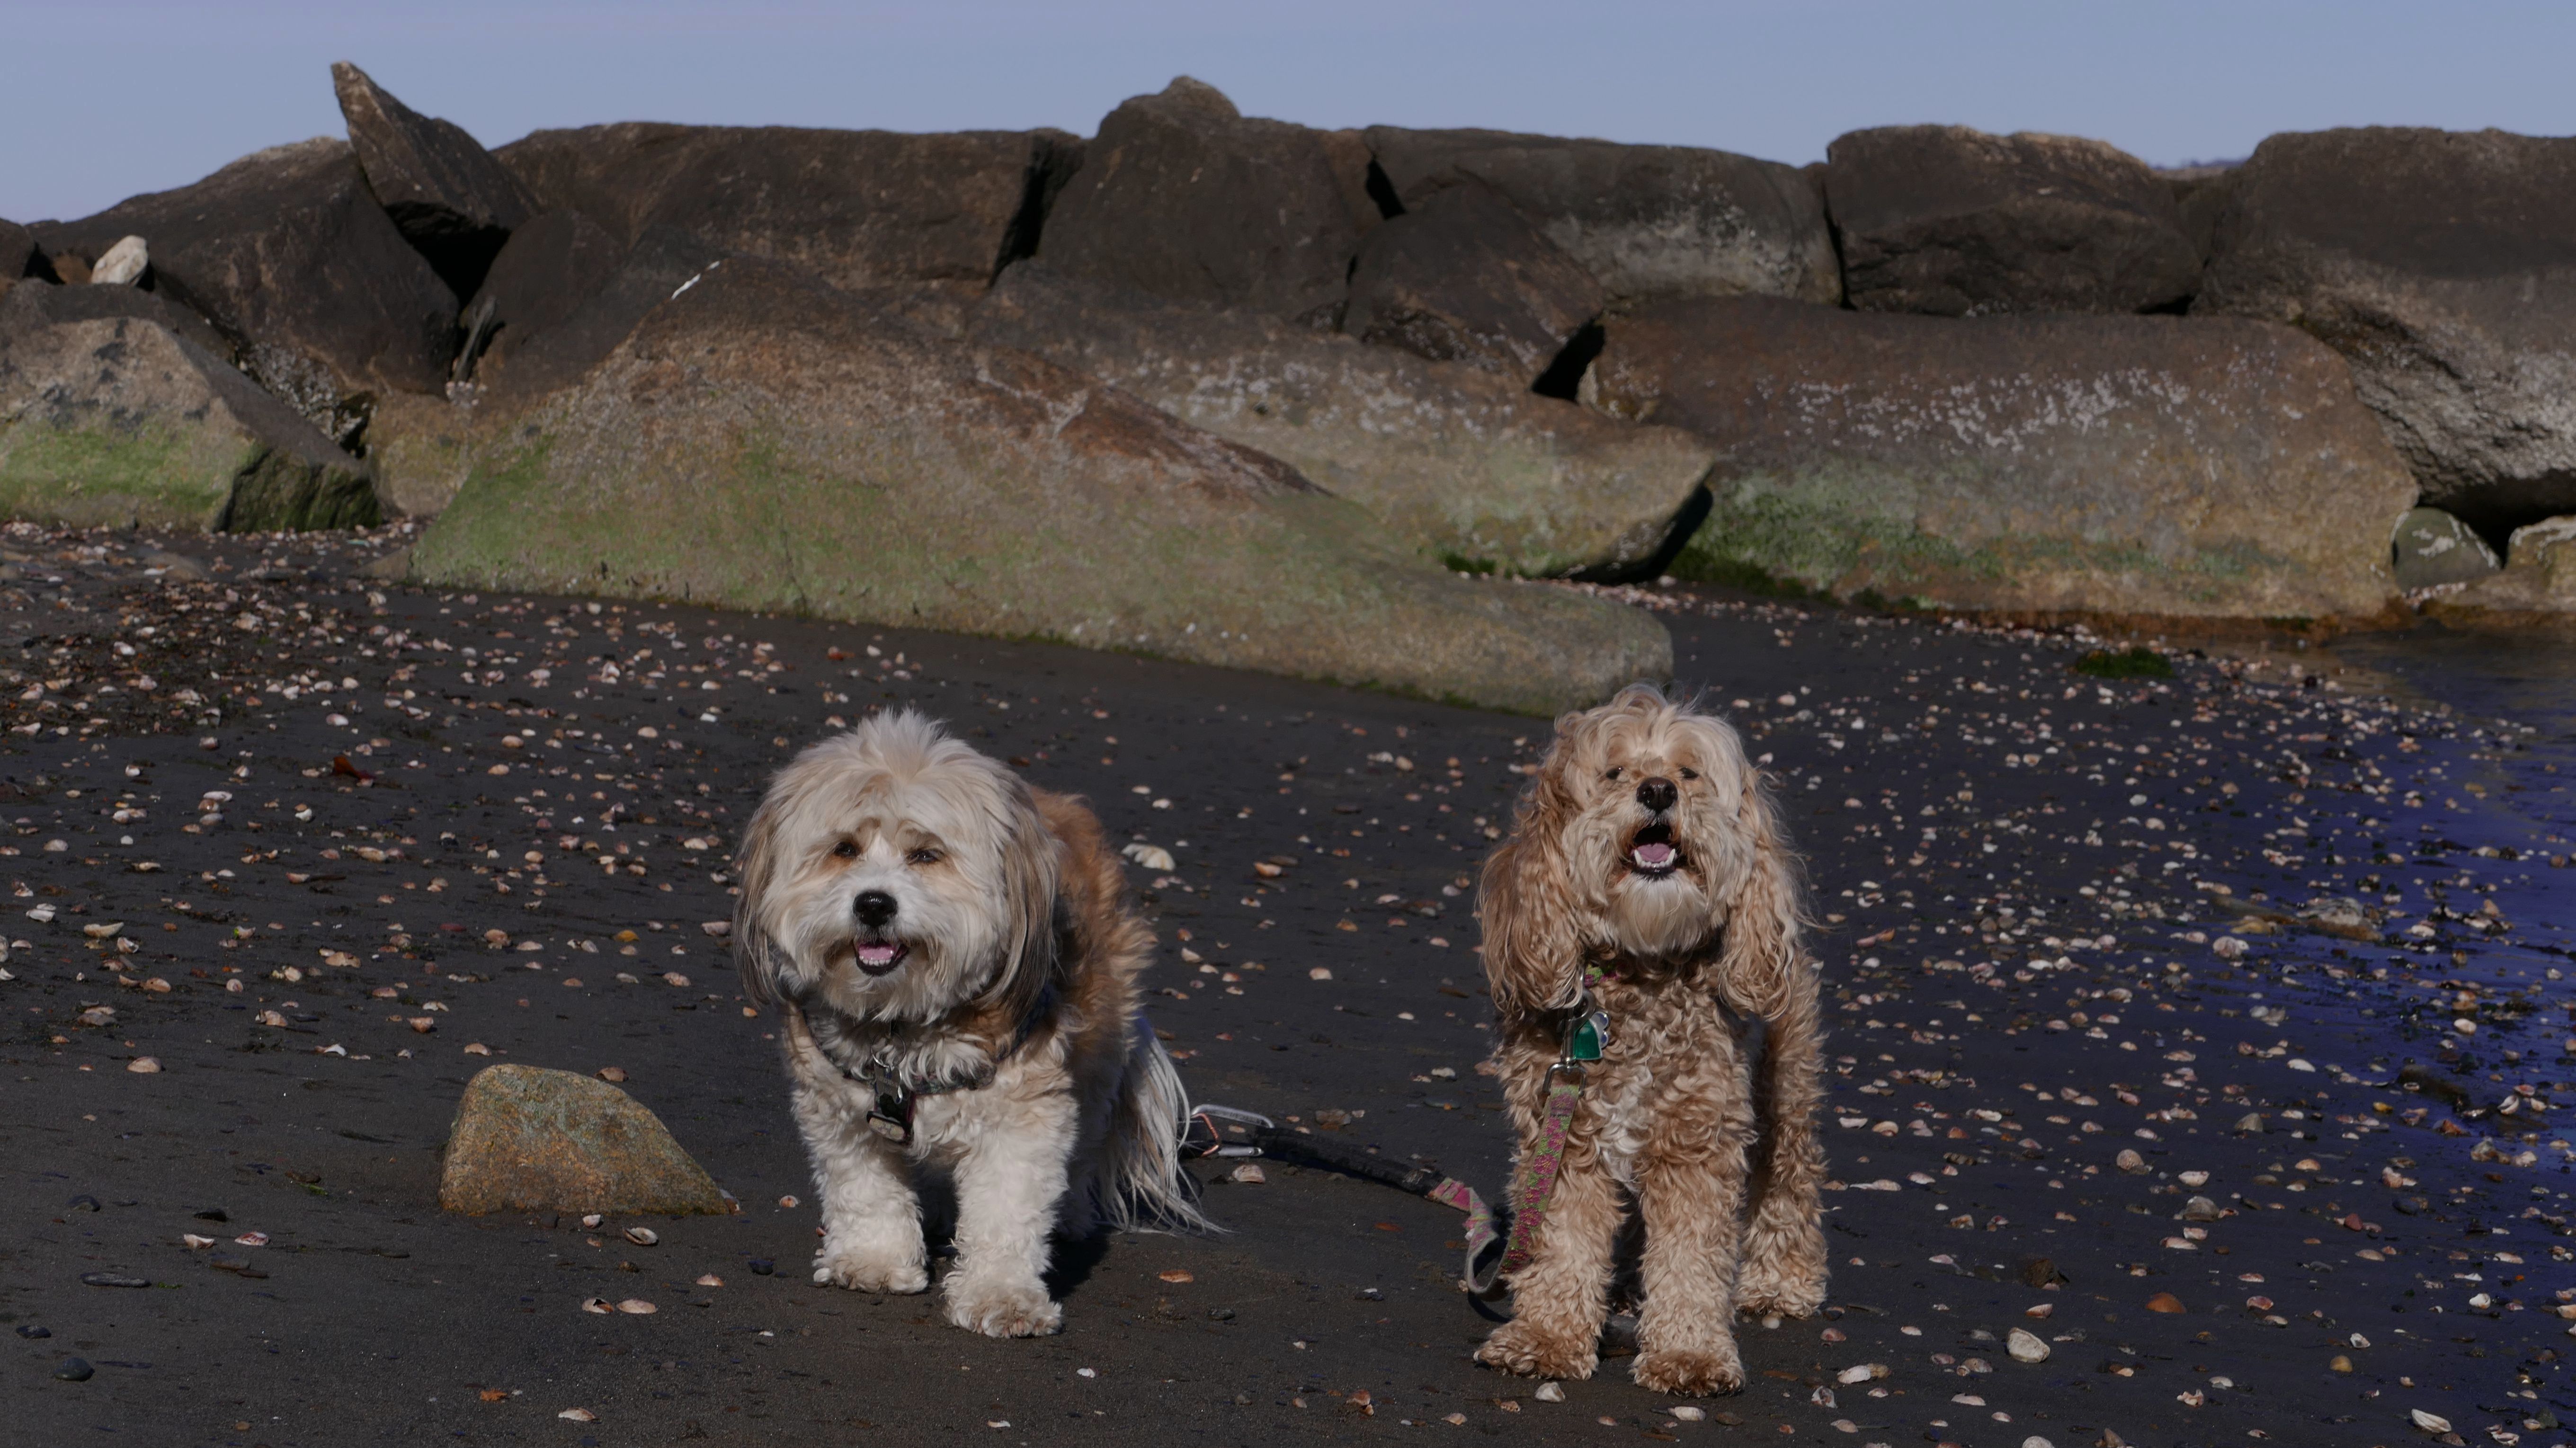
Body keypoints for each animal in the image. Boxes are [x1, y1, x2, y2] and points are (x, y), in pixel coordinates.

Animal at [731, 710, 1205, 1338]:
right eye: (844, 848)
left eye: (926, 855)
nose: (873, 903)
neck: (903, 1024)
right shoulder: (840, 1110)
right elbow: (864, 1189)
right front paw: (875, 1259)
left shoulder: (1022, 1116)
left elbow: (1006, 1213)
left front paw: (999, 1295)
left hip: (1100, 1045)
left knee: (1085, 1140)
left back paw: (1071, 1212)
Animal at [1473, 683, 1826, 1394]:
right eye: (1613, 772)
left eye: (1688, 773)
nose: (1658, 789)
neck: (1640, 967)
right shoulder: (1564, 1133)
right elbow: (1562, 1242)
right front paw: (1546, 1337)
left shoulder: (1698, 1140)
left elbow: (1692, 1256)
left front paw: (1689, 1351)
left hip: (1786, 1073)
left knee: (1790, 1173)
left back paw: (1780, 1279)